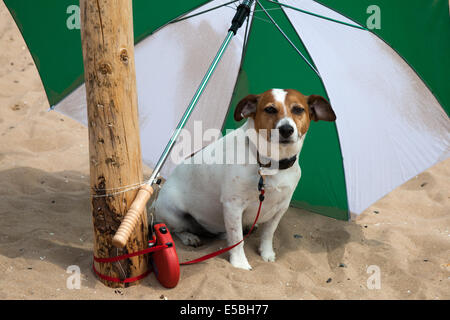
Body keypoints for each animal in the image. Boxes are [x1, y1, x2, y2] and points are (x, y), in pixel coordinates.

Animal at [155, 89, 334, 268]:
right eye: (270, 109)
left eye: (298, 109)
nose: (286, 129)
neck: (270, 164)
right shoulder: (233, 205)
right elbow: (237, 239)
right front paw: (239, 263)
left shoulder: (280, 208)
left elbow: (268, 234)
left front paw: (266, 253)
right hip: (172, 213)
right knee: (174, 230)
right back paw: (189, 237)